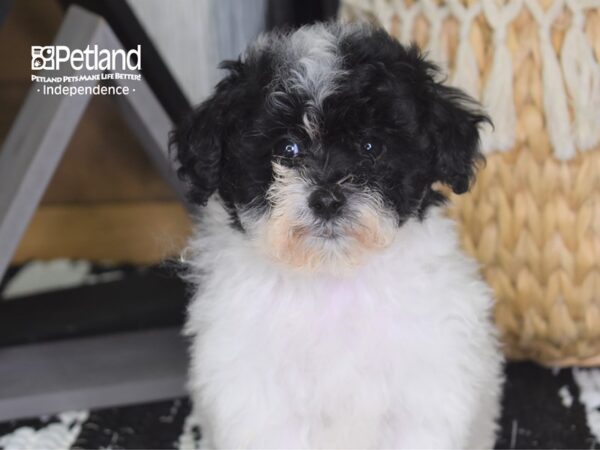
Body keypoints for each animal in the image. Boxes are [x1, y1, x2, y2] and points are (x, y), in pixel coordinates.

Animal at [172, 22, 502, 450]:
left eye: (371, 146)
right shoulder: (255, 396)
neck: (333, 277)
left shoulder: (425, 387)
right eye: (288, 148)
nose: (327, 199)